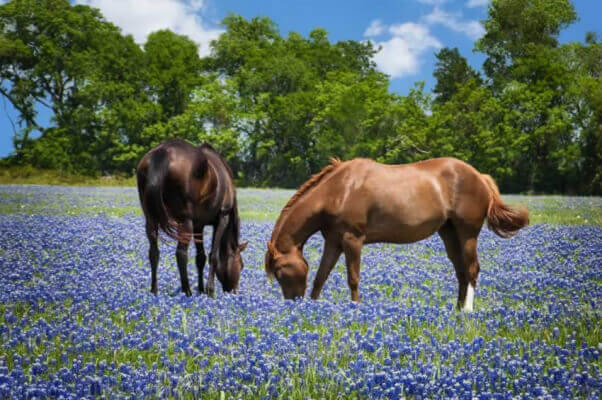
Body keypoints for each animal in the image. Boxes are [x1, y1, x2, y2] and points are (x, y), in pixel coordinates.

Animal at [136, 139, 246, 296]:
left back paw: (154, 291)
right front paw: (210, 290)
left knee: (153, 252)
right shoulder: (222, 217)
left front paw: (201, 289)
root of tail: (162, 153)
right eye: (241, 265)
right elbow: (213, 255)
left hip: (151, 218)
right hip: (184, 220)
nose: (234, 291)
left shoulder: (199, 224)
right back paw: (186, 291)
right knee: (181, 253)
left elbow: (201, 257)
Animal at [264, 158, 528, 310]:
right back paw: (457, 309)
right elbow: (321, 276)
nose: (292, 304)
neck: (339, 190)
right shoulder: (333, 241)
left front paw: (356, 309)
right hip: (449, 233)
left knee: (472, 270)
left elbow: (353, 278)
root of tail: (479, 176)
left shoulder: (352, 239)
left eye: (279, 272)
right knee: (461, 271)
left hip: (467, 233)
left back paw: (467, 311)